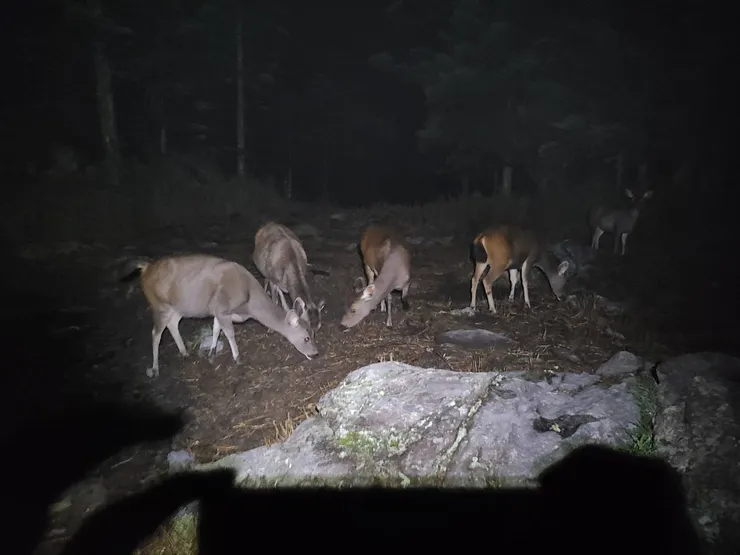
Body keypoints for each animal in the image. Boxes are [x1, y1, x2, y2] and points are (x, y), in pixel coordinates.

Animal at [121, 254, 319, 378]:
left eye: (313, 333)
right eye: (307, 338)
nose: (316, 353)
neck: (249, 303)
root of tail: (145, 268)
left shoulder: (218, 311)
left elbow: (216, 329)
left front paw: (211, 353)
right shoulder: (222, 308)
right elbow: (229, 332)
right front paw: (237, 358)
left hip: (176, 307)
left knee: (173, 324)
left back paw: (185, 352)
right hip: (159, 304)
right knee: (155, 333)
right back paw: (155, 368)